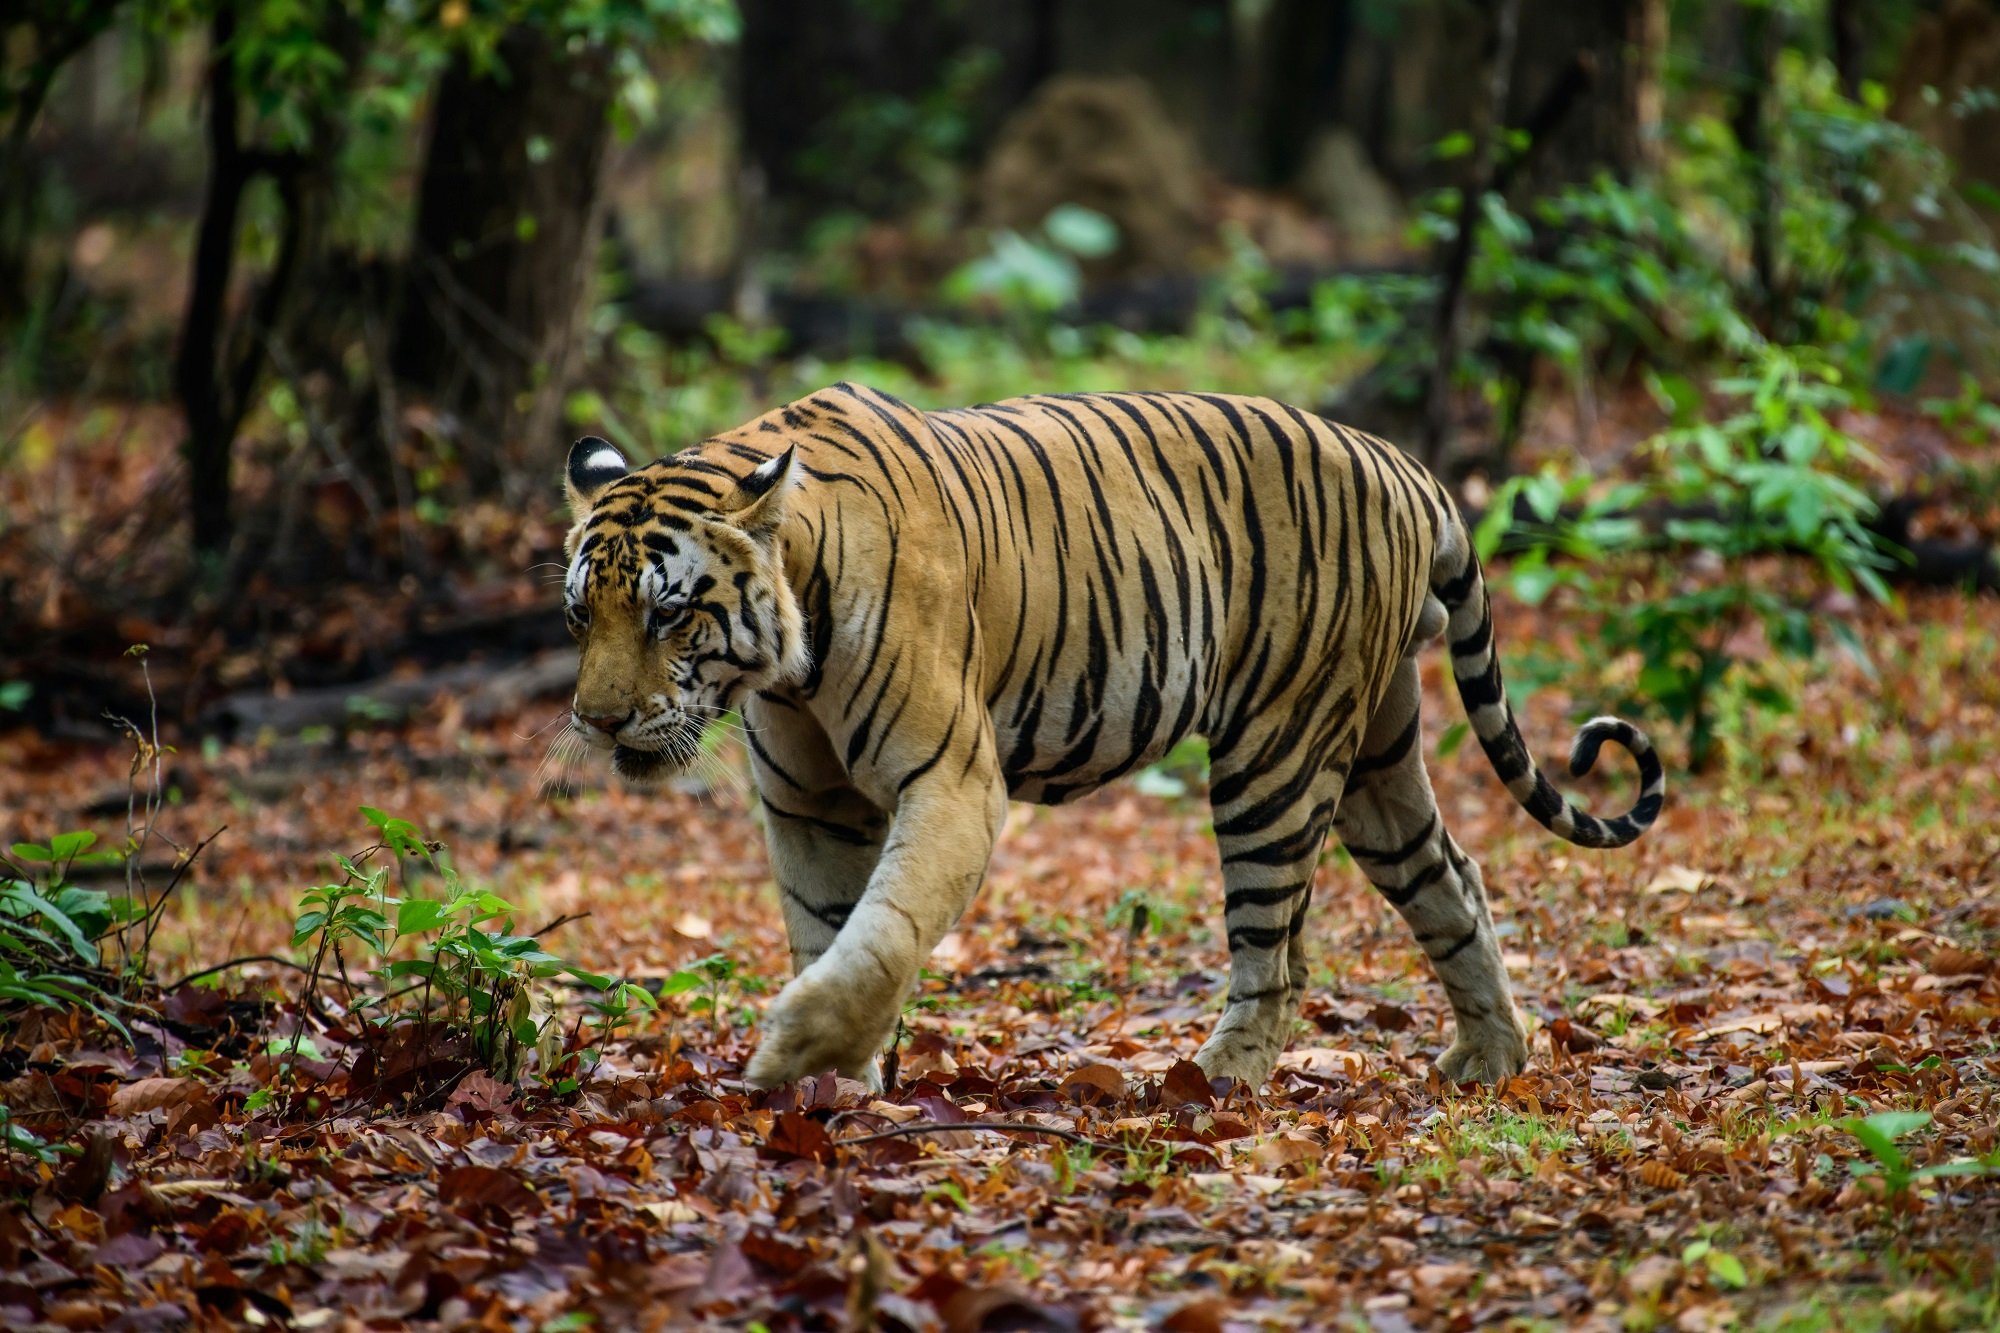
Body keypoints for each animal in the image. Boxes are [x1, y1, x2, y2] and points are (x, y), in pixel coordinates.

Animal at [557, 383, 1664, 1092]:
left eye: (666, 614)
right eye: (580, 614)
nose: (598, 721)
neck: (786, 654)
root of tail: (1400, 463)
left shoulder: (952, 781)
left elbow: (884, 929)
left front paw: (793, 1051)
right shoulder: (809, 802)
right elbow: (828, 926)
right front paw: (833, 1083)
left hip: (1276, 752)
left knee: (1277, 955)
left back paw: (1211, 1082)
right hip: (1375, 758)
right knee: (1452, 878)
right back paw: (1491, 1059)